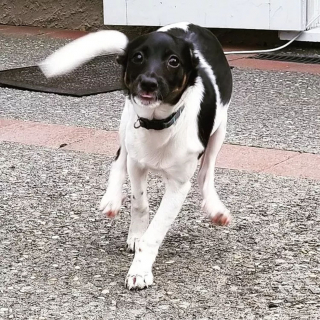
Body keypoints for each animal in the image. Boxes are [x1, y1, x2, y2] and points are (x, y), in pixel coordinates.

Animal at [41, 23, 234, 290]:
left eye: (174, 61)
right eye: (138, 57)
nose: (148, 83)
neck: (157, 124)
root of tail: (191, 26)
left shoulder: (178, 186)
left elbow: (154, 233)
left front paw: (140, 270)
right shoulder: (136, 163)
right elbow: (139, 203)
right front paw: (136, 235)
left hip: (220, 130)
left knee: (206, 172)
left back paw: (215, 207)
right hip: (126, 120)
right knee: (118, 159)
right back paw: (112, 199)